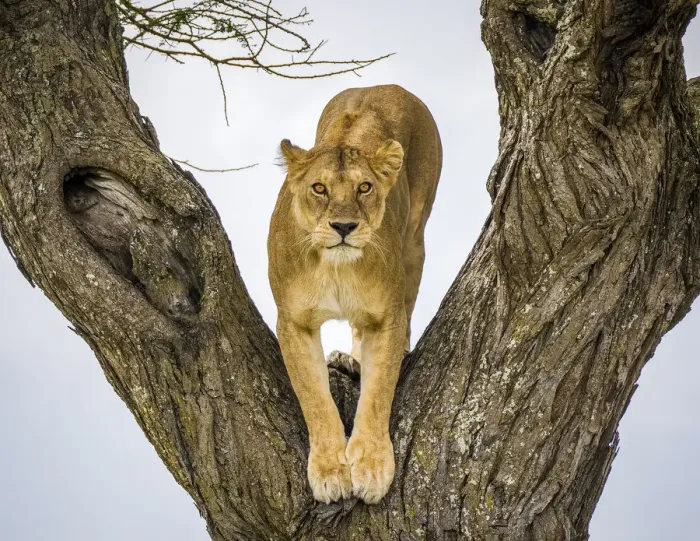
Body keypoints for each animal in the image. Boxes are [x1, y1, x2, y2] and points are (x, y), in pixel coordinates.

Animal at [268, 84, 442, 504]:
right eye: (319, 188)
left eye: (365, 187)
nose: (344, 226)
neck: (336, 268)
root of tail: (384, 86)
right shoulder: (293, 321)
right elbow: (314, 399)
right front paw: (330, 472)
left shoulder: (387, 318)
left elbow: (377, 393)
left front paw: (372, 467)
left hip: (415, 241)